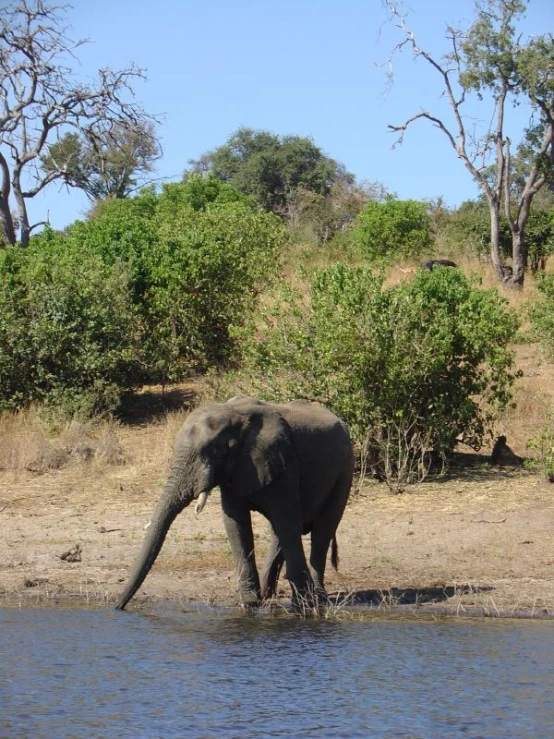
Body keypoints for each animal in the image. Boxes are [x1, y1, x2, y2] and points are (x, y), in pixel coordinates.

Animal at [115, 398, 354, 612]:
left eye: (213, 451)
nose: (118, 607)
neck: (231, 413)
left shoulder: (285, 465)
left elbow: (286, 520)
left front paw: (302, 608)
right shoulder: (237, 469)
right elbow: (235, 523)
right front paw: (248, 603)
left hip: (345, 468)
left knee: (321, 529)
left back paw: (317, 599)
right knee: (280, 533)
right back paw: (269, 594)